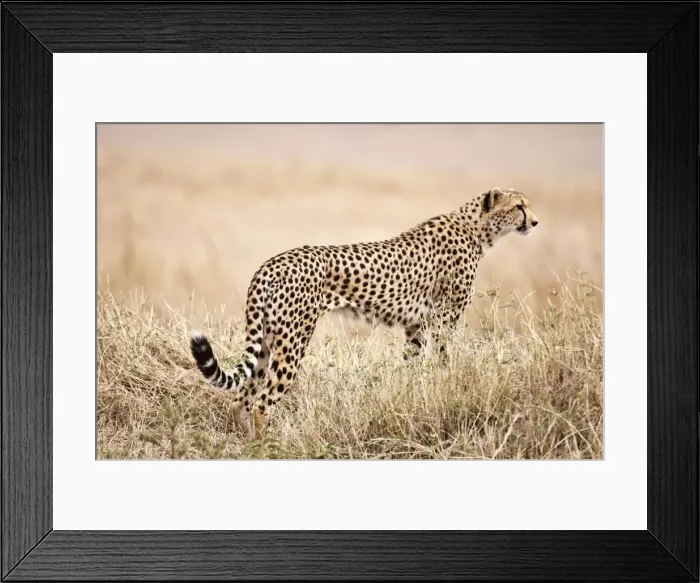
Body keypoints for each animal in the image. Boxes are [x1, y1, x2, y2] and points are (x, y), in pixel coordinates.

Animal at [190, 187, 539, 439]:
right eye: (519, 206)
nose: (534, 222)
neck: (477, 229)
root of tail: (270, 263)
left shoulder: (416, 326)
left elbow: (412, 367)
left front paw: (409, 398)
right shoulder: (443, 321)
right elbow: (444, 361)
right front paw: (449, 389)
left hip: (265, 340)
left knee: (241, 399)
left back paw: (246, 441)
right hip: (293, 341)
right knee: (262, 402)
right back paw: (268, 445)